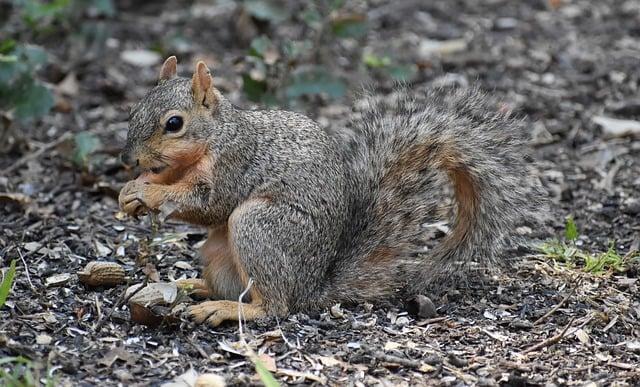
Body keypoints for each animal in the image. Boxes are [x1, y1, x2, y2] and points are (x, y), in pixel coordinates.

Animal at [119, 55, 540, 328]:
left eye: (174, 123)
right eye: (132, 112)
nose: (128, 158)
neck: (216, 136)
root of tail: (312, 287)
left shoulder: (233, 165)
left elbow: (208, 204)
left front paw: (150, 194)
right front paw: (133, 190)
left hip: (259, 226)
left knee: (275, 306)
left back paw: (228, 309)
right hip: (219, 252)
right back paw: (194, 286)